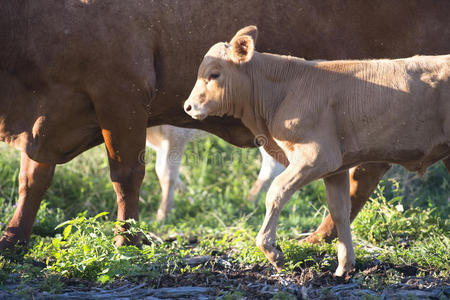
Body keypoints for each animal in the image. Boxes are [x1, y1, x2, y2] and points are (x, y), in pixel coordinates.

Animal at [0, 0, 450, 248]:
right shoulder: (48, 118)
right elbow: (32, 179)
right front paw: (13, 238)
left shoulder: (120, 97)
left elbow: (127, 176)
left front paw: (128, 239)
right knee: (357, 176)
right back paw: (320, 239)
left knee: (361, 173)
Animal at [184, 26, 450, 276]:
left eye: (214, 74)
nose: (188, 106)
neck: (284, 90)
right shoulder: (336, 168)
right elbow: (340, 210)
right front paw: (344, 266)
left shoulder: (317, 157)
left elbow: (276, 191)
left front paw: (272, 251)